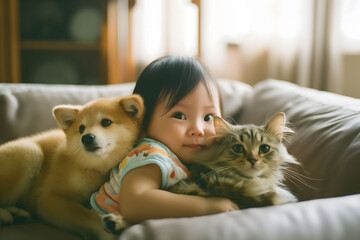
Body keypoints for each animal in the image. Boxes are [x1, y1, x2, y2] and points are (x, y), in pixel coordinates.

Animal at [0, 94, 145, 239]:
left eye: (106, 122)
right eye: (81, 129)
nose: (86, 138)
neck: (95, 168)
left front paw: (118, 223)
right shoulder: (48, 198)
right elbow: (88, 216)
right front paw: (109, 229)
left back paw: (17, 214)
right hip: (30, 153)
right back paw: (5, 215)